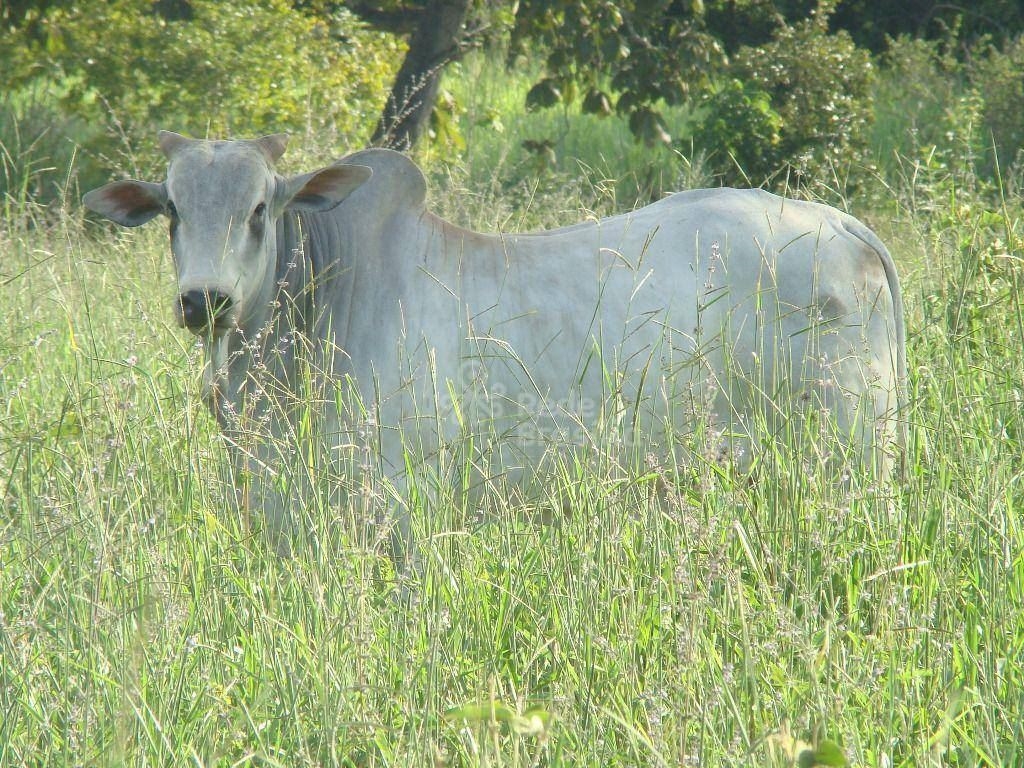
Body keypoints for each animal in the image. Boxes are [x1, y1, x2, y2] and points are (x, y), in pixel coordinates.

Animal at [83, 132, 909, 561]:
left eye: (260, 209)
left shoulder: (405, 510)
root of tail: (844, 225)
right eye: (171, 210)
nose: (205, 300)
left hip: (851, 463)